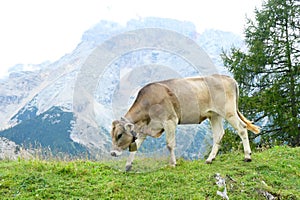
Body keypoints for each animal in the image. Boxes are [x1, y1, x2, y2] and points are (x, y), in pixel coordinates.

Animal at [110, 74, 260, 171]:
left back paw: (247, 156)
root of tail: (229, 78)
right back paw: (209, 159)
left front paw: (172, 164)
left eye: (119, 135)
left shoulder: (170, 120)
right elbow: (136, 146)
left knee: (242, 128)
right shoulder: (146, 129)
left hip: (228, 111)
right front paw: (128, 165)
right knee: (219, 134)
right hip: (214, 114)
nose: (112, 153)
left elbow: (170, 144)